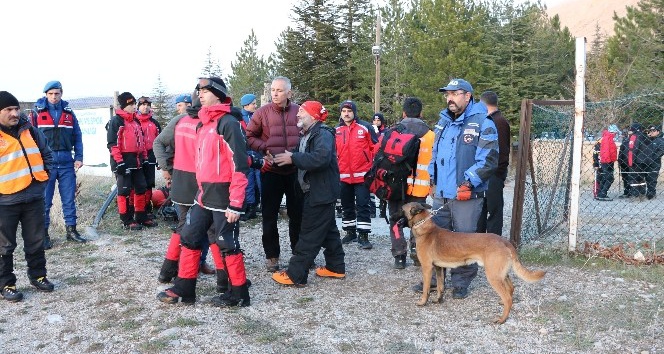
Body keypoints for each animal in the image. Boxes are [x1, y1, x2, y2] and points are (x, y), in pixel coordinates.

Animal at [402, 202, 548, 324]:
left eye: (401, 209)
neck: (425, 229)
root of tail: (505, 241)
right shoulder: (439, 268)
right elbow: (440, 286)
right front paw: (438, 300)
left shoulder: (427, 268)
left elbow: (426, 289)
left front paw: (423, 302)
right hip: (500, 274)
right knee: (511, 289)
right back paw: (503, 303)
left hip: (493, 276)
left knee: (508, 297)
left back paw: (502, 319)